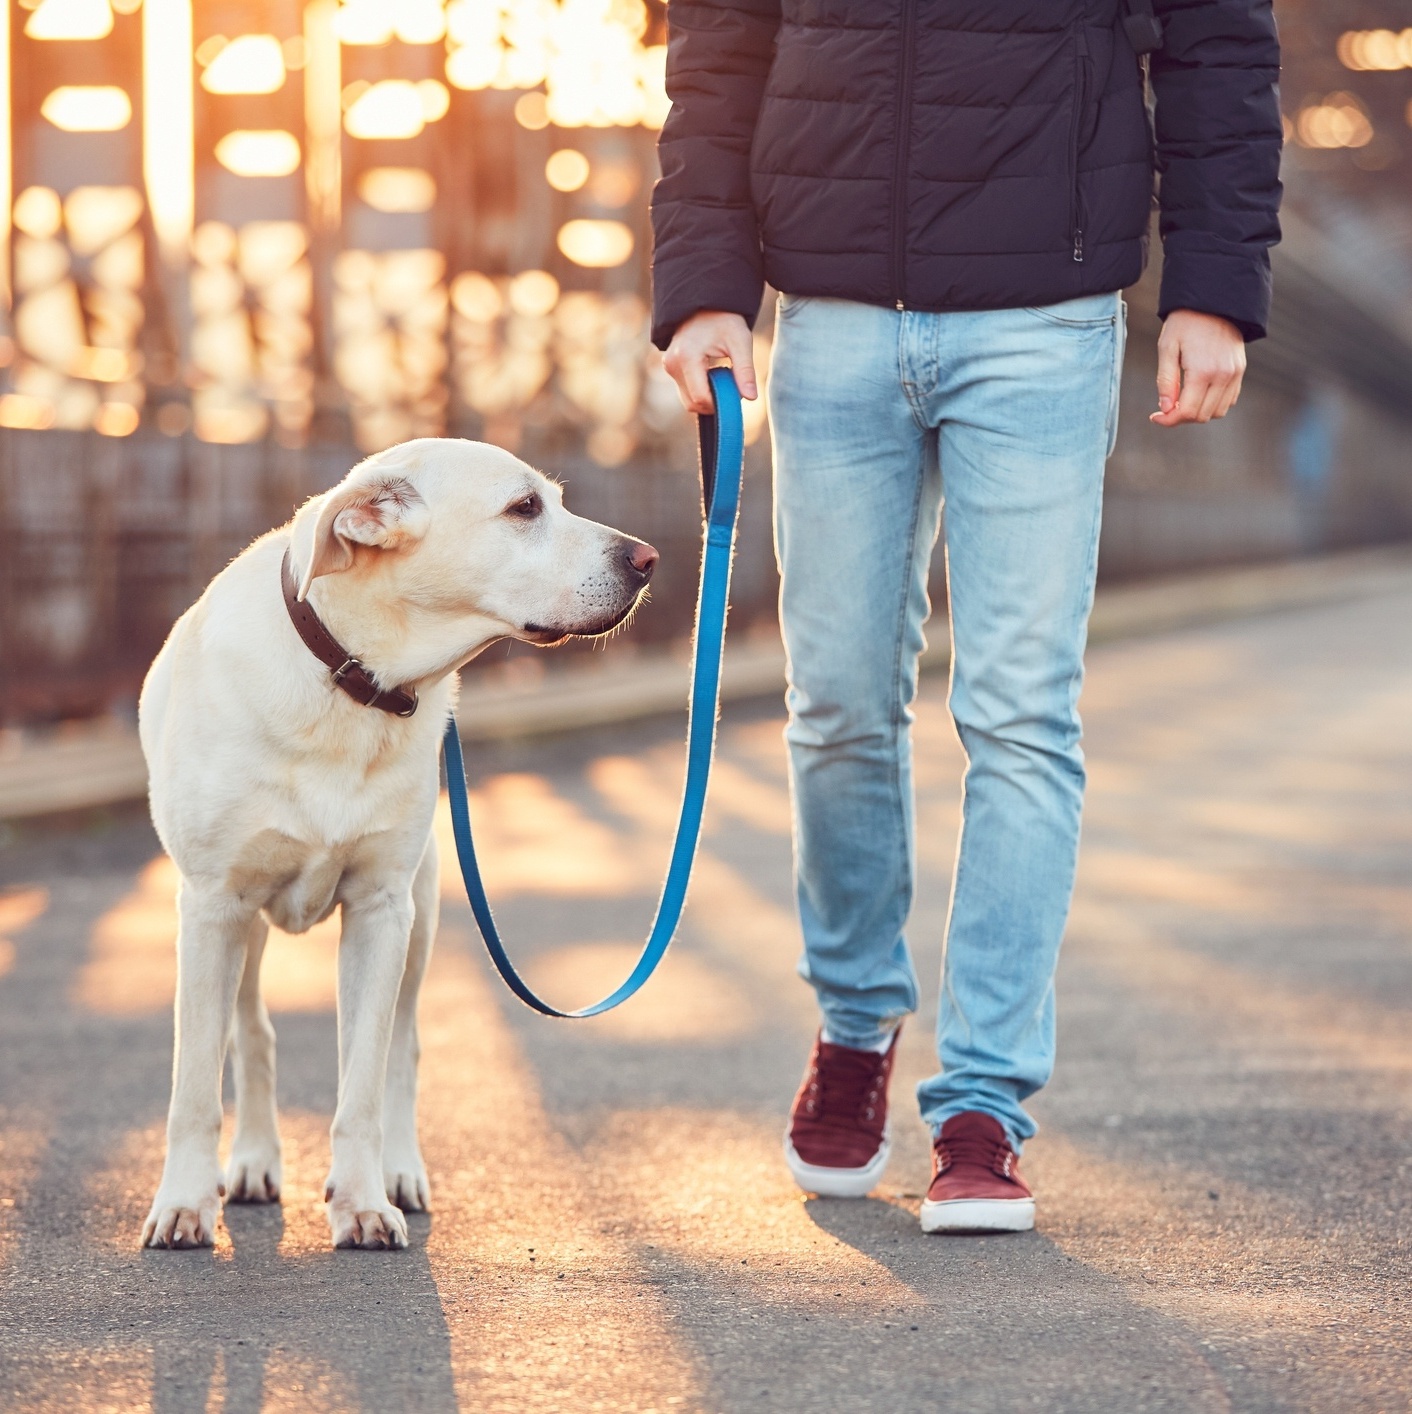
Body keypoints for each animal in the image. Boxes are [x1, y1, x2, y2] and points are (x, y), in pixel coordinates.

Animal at [137, 438, 655, 1249]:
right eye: (525, 508)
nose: (649, 559)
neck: (352, 680)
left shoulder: (382, 912)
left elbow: (364, 1085)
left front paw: (360, 1201)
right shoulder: (213, 908)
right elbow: (194, 1084)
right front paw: (185, 1202)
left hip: (422, 915)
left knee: (402, 1051)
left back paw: (400, 1172)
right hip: (244, 928)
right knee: (251, 1035)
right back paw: (253, 1160)